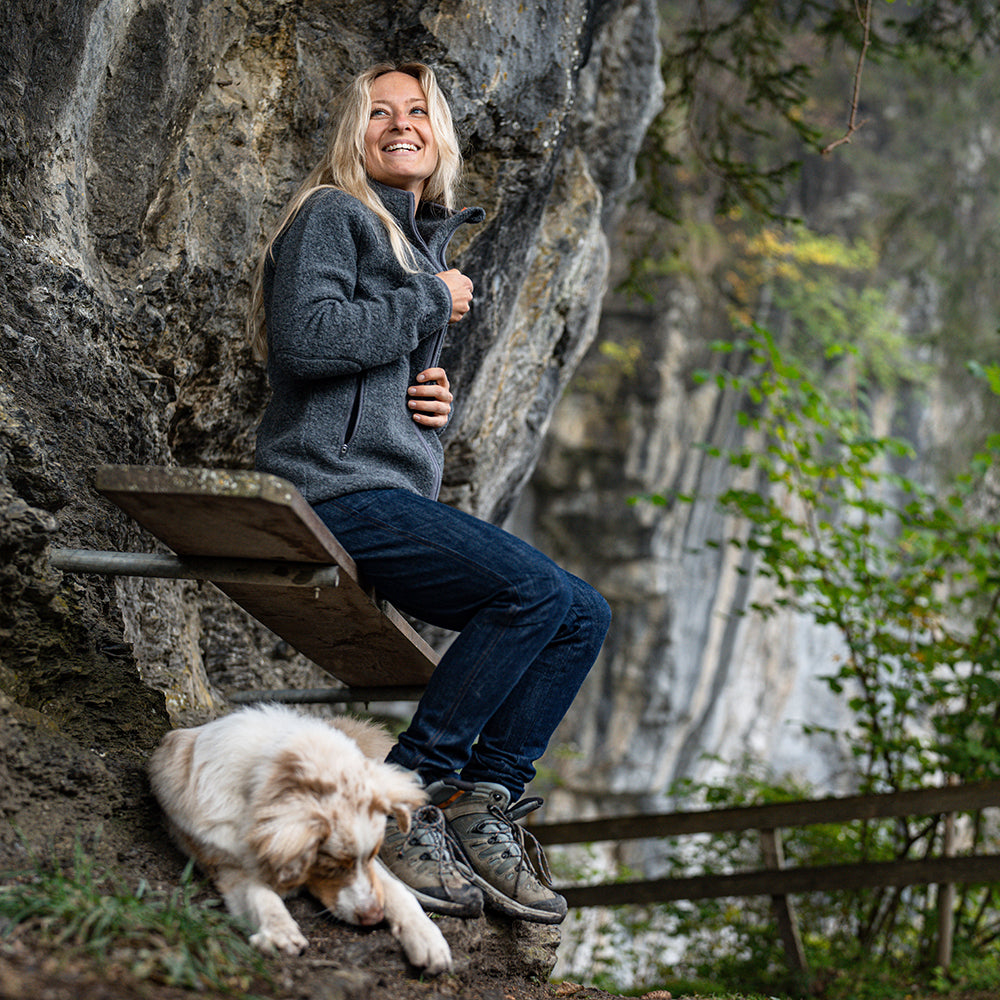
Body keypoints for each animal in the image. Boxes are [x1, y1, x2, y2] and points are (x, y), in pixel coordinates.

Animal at [149, 700, 454, 972]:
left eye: (372, 855)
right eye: (330, 867)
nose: (373, 917)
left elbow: (397, 890)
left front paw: (428, 938)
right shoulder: (226, 864)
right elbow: (258, 893)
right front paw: (279, 930)